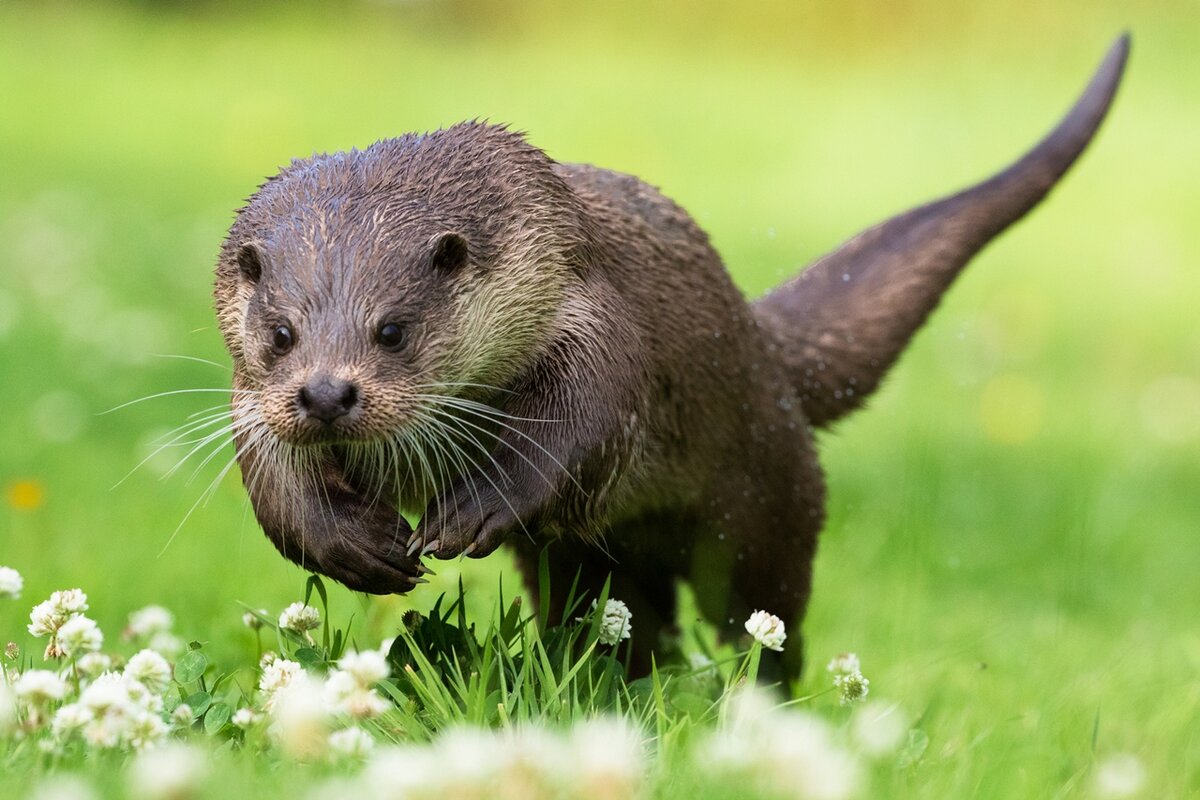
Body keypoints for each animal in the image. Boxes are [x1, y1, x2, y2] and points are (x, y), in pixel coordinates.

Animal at [218, 35, 1132, 676]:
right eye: (282, 334)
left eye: (394, 330)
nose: (325, 394)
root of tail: (765, 350)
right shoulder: (248, 395)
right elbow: (276, 485)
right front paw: (352, 544)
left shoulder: (600, 325)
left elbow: (579, 429)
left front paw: (476, 504)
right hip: (591, 564)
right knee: (624, 617)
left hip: (768, 501)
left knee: (767, 622)